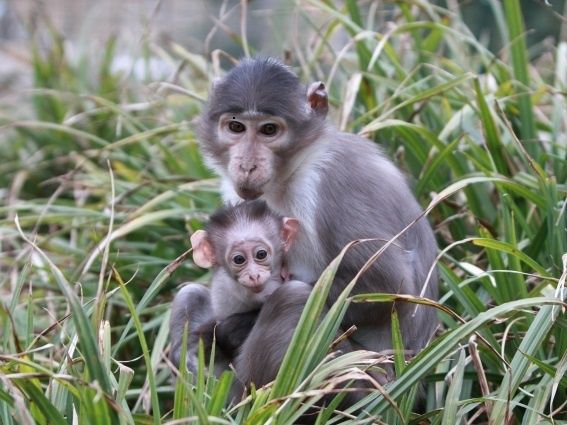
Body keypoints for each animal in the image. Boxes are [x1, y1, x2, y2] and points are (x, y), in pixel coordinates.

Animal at [196, 57, 440, 372]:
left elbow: (388, 287)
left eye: (268, 130)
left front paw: (232, 327)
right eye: (236, 127)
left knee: (293, 298)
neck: (292, 172)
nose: (247, 165)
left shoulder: (332, 182)